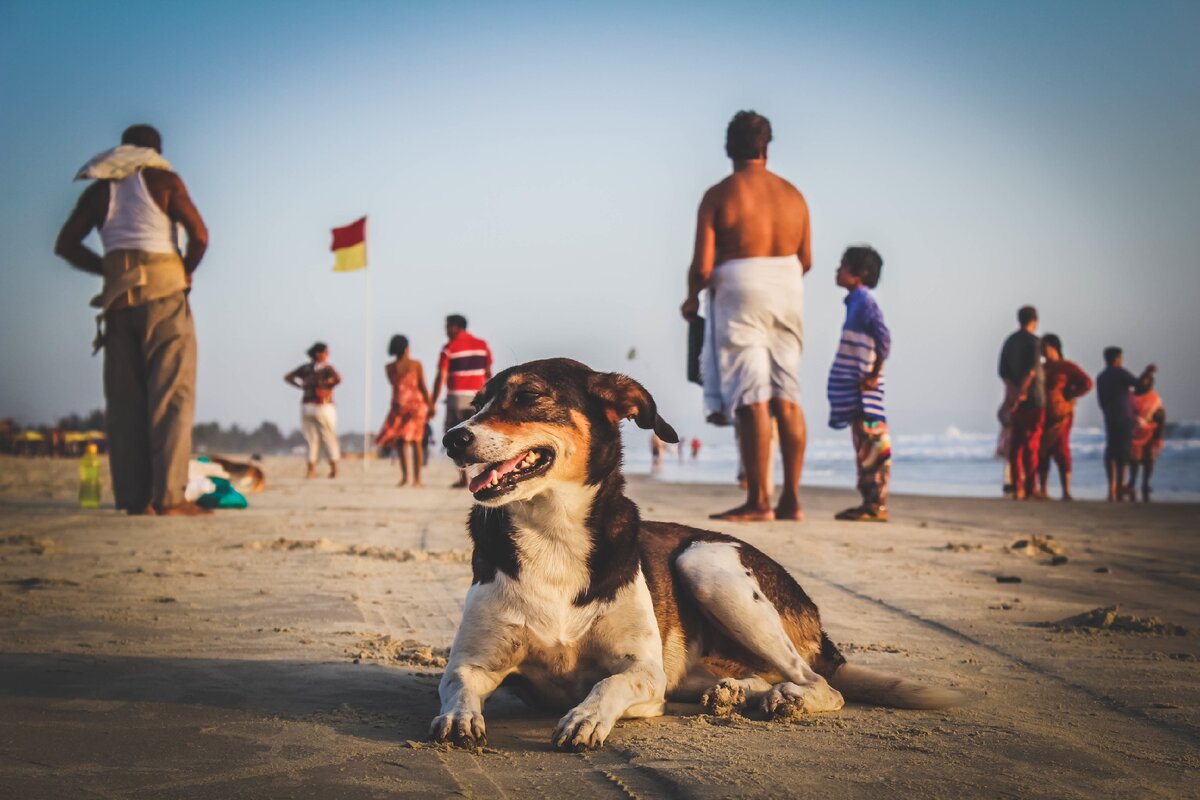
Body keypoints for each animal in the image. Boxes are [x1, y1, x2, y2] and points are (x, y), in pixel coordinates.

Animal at [429, 359, 955, 753]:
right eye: (475, 405)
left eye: (530, 396)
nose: (453, 437)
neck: (553, 532)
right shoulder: (473, 662)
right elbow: (456, 684)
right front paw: (458, 718)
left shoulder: (645, 672)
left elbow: (608, 684)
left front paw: (585, 718)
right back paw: (736, 694)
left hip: (707, 564)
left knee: (823, 684)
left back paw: (785, 699)